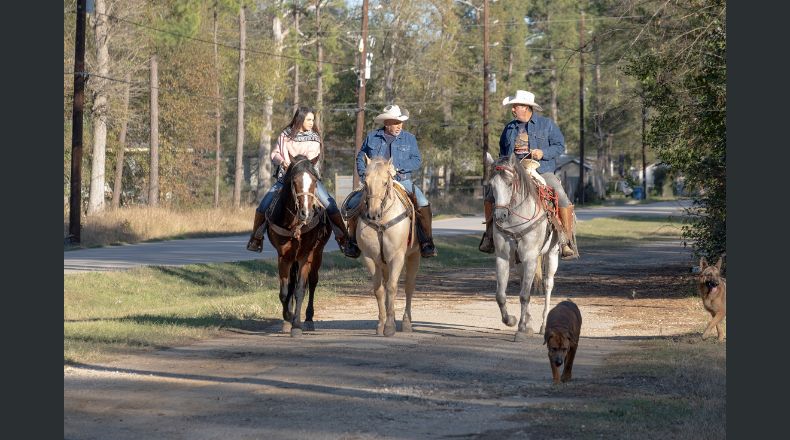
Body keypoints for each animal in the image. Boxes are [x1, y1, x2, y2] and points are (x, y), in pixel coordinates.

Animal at [264, 153, 330, 336]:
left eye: (315, 181)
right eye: (294, 181)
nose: (305, 213)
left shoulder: (304, 256)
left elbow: (300, 290)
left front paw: (296, 325)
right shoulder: (283, 257)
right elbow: (285, 291)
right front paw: (288, 317)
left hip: (317, 254)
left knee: (312, 283)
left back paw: (308, 319)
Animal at [358, 156, 420, 336]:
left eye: (385, 182)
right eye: (365, 182)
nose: (373, 213)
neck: (382, 220)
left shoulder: (397, 257)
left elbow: (393, 288)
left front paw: (390, 326)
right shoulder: (370, 258)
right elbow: (379, 290)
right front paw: (381, 324)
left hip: (414, 256)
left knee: (409, 287)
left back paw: (406, 323)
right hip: (384, 263)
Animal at [482, 151, 564, 340]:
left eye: (510, 183)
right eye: (491, 185)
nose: (500, 215)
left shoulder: (530, 258)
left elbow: (525, 295)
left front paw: (520, 329)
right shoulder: (503, 258)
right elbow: (500, 295)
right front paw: (512, 320)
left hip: (552, 254)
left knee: (548, 284)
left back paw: (543, 325)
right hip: (520, 261)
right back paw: (529, 322)